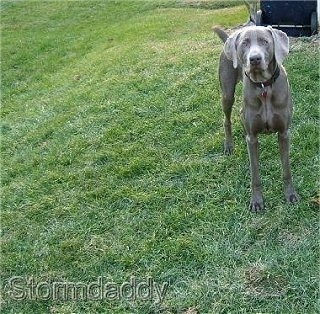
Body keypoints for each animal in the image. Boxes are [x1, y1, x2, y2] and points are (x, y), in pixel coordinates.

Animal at [214, 25, 298, 212]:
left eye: (264, 41)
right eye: (244, 43)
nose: (254, 59)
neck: (263, 86)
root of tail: (228, 38)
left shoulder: (284, 133)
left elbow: (287, 169)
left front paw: (290, 195)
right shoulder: (251, 138)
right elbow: (255, 174)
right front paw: (257, 201)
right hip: (227, 93)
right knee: (227, 119)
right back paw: (228, 145)